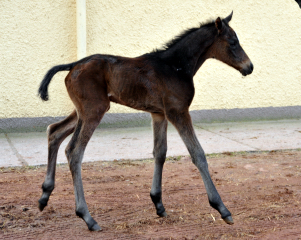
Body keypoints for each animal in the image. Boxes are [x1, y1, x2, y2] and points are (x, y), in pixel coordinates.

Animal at [38, 11, 253, 231]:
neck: (175, 67)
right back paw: (87, 217)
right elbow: (198, 154)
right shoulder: (178, 111)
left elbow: (160, 152)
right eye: (233, 42)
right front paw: (222, 208)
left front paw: (158, 203)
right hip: (94, 110)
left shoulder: (159, 113)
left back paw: (45, 195)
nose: (249, 67)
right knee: (74, 151)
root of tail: (72, 65)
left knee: (54, 131)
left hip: (82, 110)